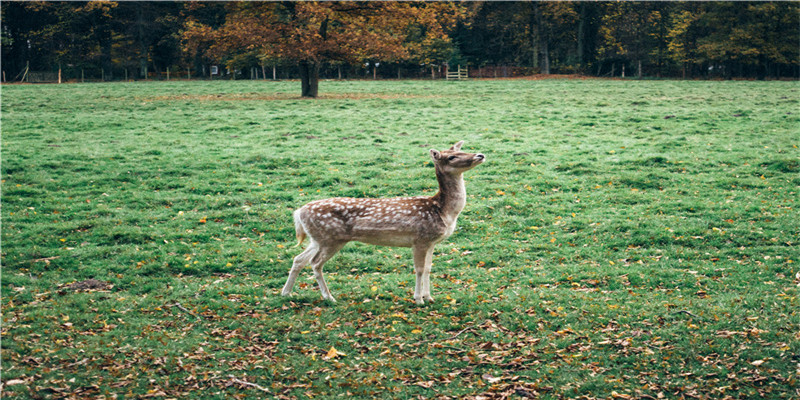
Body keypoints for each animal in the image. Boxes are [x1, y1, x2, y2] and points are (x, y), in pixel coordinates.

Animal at [278, 141, 484, 304]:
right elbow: (418, 269)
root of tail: (299, 212)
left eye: (461, 150)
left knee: (299, 259)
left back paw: (286, 293)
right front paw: (418, 299)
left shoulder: (432, 242)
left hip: (317, 238)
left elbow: (428, 269)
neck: (442, 211)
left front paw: (429, 297)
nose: (480, 155)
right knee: (315, 263)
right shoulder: (420, 238)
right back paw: (329, 297)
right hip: (331, 238)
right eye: (451, 157)